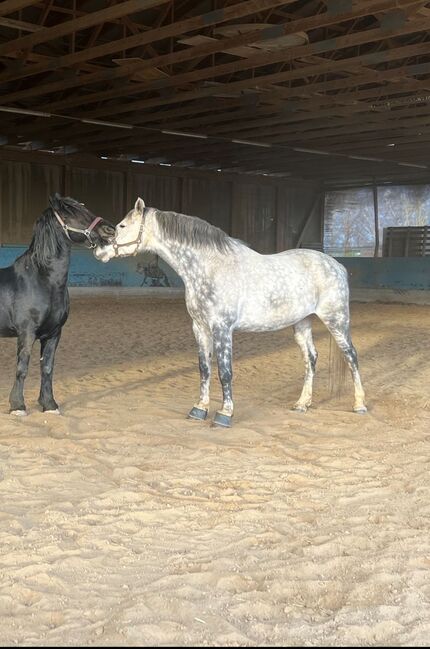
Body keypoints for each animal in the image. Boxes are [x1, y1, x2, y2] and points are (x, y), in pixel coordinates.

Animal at [0, 194, 116, 416]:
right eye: (69, 214)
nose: (109, 229)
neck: (41, 280)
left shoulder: (53, 334)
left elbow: (47, 368)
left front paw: (49, 405)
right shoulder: (27, 333)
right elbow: (22, 367)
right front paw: (18, 406)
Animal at [95, 200, 366, 428]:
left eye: (121, 226)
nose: (99, 251)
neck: (210, 267)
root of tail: (336, 265)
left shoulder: (222, 328)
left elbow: (225, 372)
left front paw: (224, 414)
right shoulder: (200, 327)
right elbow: (204, 369)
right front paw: (199, 409)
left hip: (336, 319)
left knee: (351, 356)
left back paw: (359, 405)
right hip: (301, 323)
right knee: (311, 358)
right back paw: (302, 404)